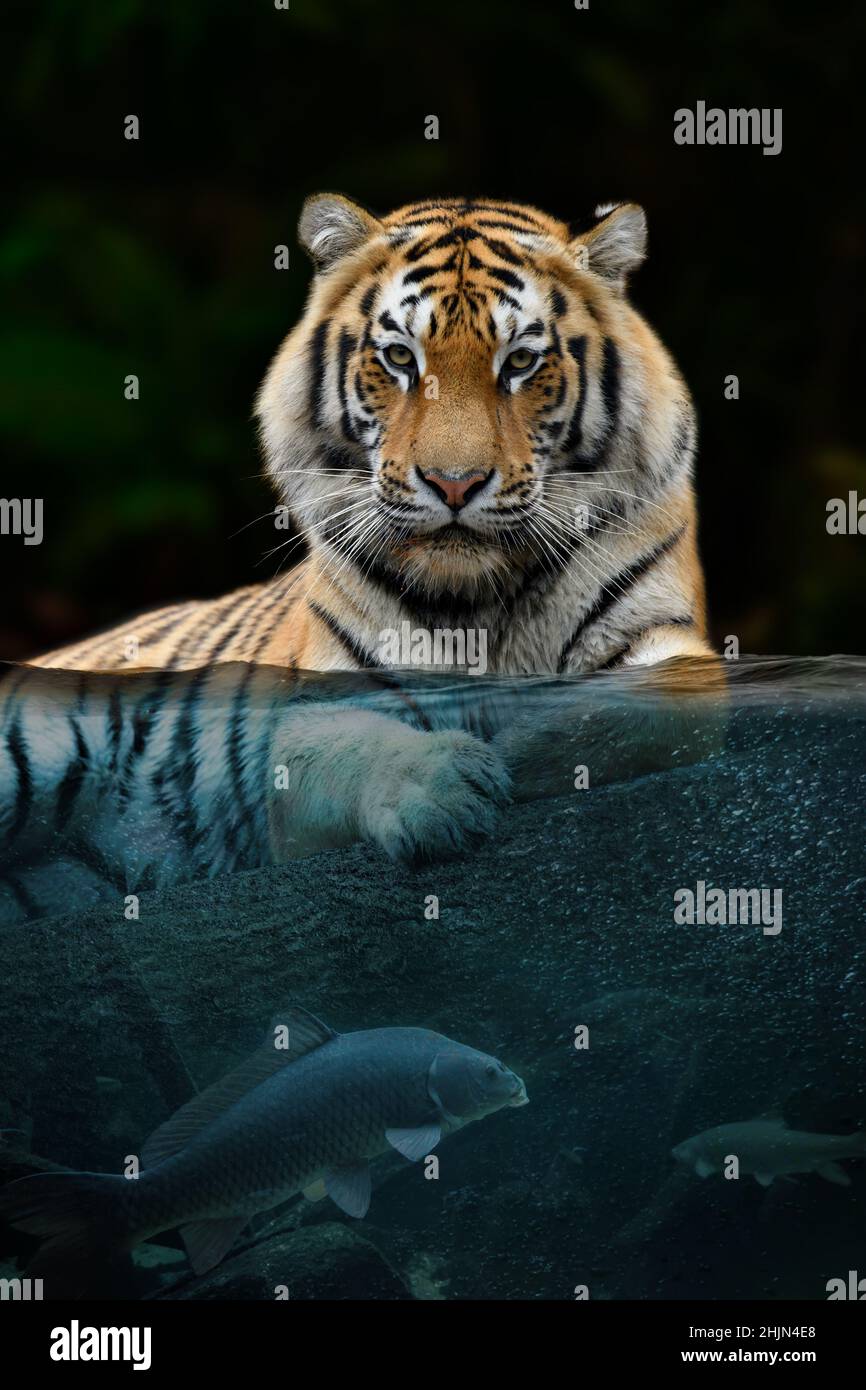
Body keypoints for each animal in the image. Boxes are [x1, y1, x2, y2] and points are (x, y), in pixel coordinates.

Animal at [0, 195, 723, 917]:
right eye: (401, 357)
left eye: (519, 363)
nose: (454, 483)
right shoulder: (310, 720)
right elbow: (357, 750)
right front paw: (442, 786)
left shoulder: (661, 643)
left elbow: (663, 702)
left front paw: (528, 745)